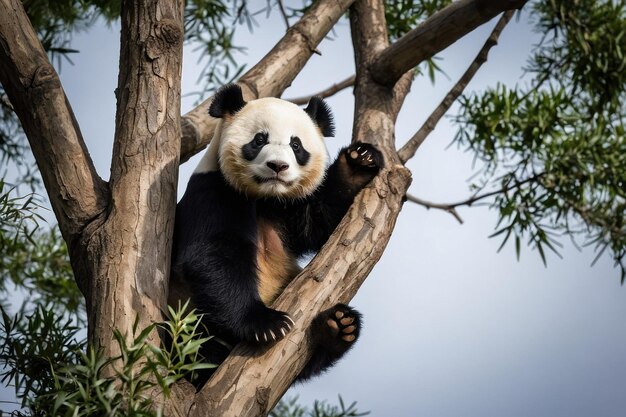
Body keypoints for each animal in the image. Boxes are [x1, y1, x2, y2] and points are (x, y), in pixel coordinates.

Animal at [171, 83, 382, 382]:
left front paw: (359, 161)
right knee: (198, 344)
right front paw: (266, 324)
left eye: (296, 145)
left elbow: (318, 223)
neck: (266, 196)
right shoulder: (214, 192)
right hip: (185, 315)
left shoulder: (288, 206)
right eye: (259, 140)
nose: (278, 166)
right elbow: (214, 254)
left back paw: (338, 326)